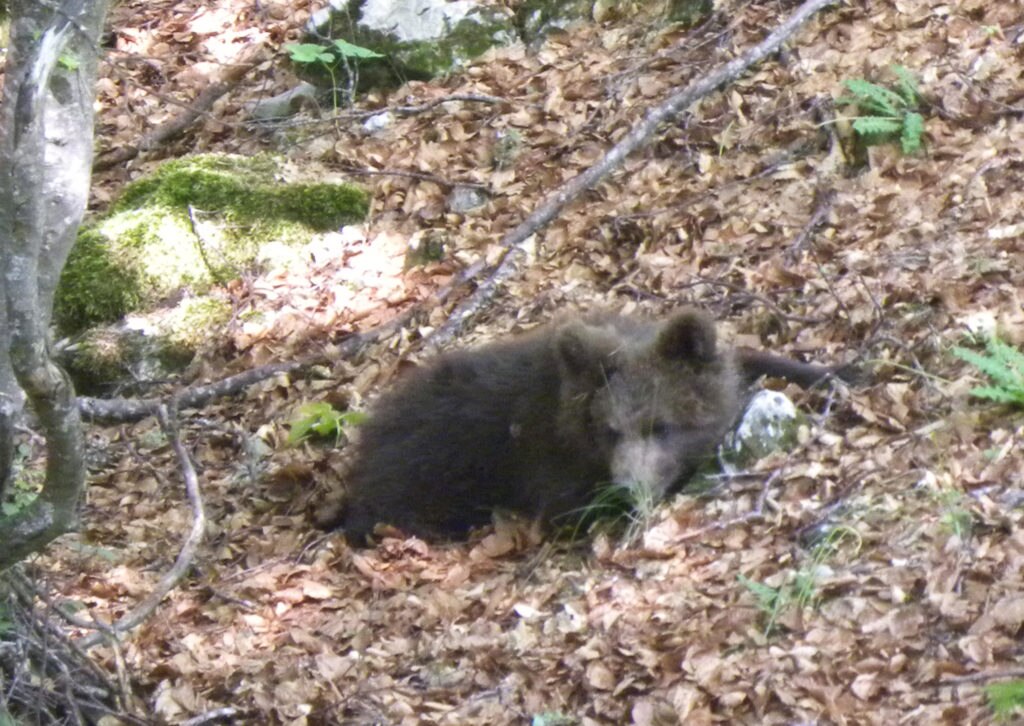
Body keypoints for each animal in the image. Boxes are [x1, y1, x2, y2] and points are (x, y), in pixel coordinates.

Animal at [329, 309, 848, 542]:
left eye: (662, 425)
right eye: (610, 429)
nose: (630, 488)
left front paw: (837, 369)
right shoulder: (545, 460)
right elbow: (571, 509)